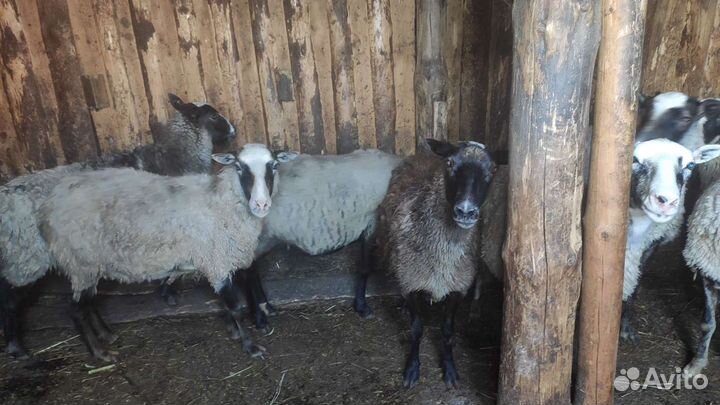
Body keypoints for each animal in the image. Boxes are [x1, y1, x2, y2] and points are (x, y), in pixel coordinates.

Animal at [0, 94, 236, 358]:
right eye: (213, 116)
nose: (233, 131)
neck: (175, 158)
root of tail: (5, 197)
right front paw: (168, 292)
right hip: (27, 257)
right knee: (12, 301)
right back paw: (18, 348)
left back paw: (105, 335)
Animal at [31, 144, 293, 362]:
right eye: (238, 166)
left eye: (274, 165)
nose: (261, 204)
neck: (222, 201)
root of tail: (47, 207)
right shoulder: (217, 262)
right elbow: (236, 308)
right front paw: (250, 346)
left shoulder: (222, 260)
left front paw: (235, 332)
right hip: (80, 262)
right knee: (75, 310)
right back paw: (100, 352)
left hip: (91, 265)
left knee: (89, 303)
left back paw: (107, 335)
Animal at [372, 139, 496, 388]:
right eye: (450, 163)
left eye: (492, 170)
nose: (465, 211)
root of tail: (423, 154)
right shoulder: (411, 283)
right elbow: (416, 329)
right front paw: (411, 370)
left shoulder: (457, 288)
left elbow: (447, 332)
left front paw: (450, 371)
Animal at [620, 139, 720, 343]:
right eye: (634, 160)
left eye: (690, 165)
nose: (666, 201)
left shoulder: (652, 245)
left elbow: (635, 285)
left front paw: (626, 329)